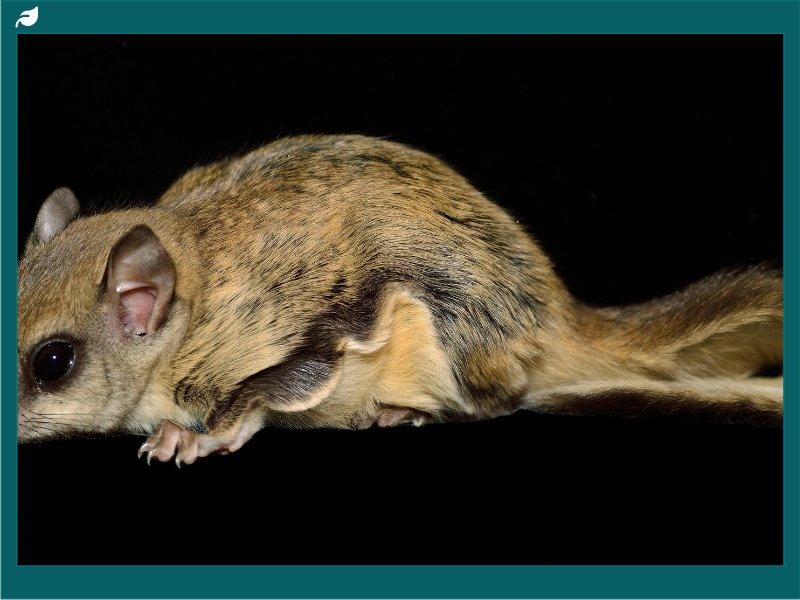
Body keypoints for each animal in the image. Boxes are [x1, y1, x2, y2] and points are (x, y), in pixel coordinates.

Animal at [17, 135, 783, 466]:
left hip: (452, 332)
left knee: (495, 403)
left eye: (53, 362)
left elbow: (270, 388)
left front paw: (193, 437)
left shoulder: (313, 329)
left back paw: (400, 413)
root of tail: (557, 318)